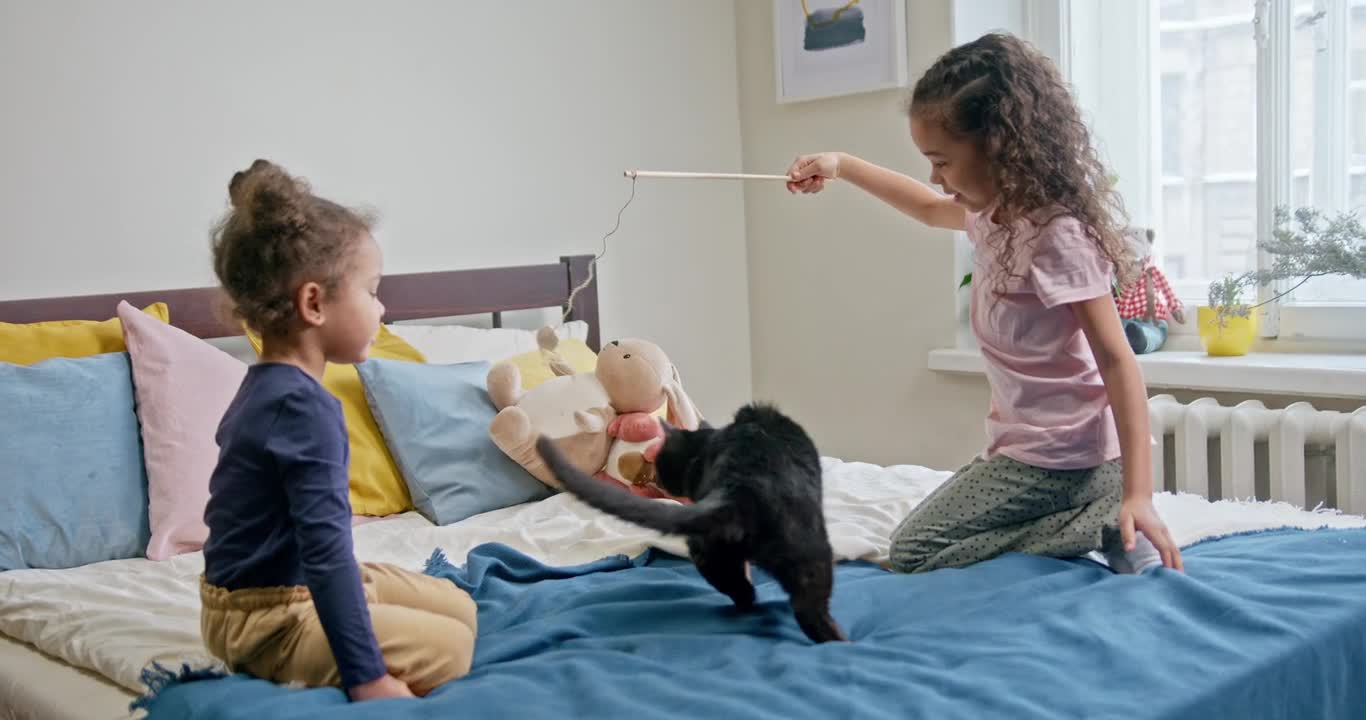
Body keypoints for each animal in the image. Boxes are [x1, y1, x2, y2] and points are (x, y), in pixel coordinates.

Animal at [535, 401, 841, 644]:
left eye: (660, 465)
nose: (656, 479)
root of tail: (738, 488)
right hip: (811, 553)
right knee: (810, 611)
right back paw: (840, 644)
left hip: (708, 551)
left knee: (743, 590)